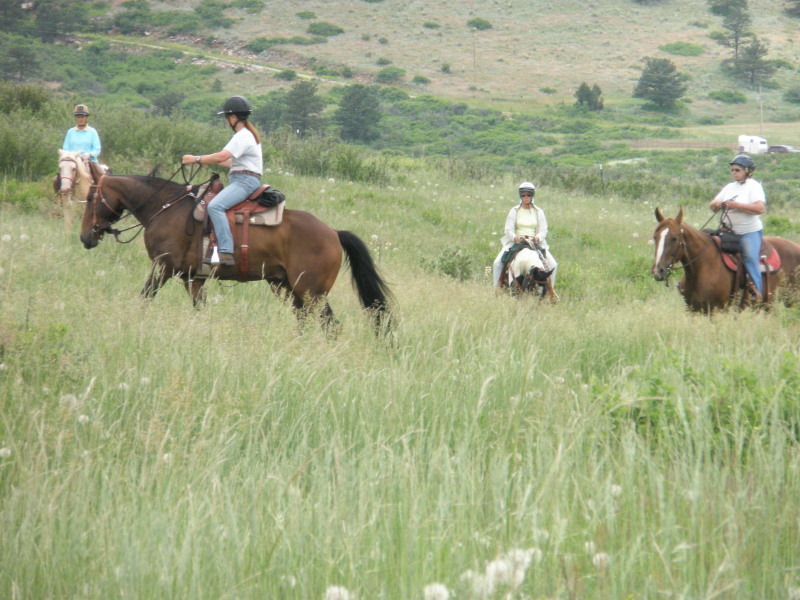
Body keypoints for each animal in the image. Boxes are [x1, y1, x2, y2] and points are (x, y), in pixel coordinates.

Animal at [79, 163, 392, 332]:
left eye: (91, 196)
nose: (85, 237)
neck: (165, 208)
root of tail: (333, 234)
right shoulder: (193, 278)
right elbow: (199, 309)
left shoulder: (163, 267)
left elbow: (145, 297)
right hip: (285, 287)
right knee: (303, 320)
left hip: (311, 292)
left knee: (330, 326)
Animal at [648, 207, 800, 314]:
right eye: (655, 237)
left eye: (674, 238)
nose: (658, 271)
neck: (703, 267)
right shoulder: (692, 310)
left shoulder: (716, 310)